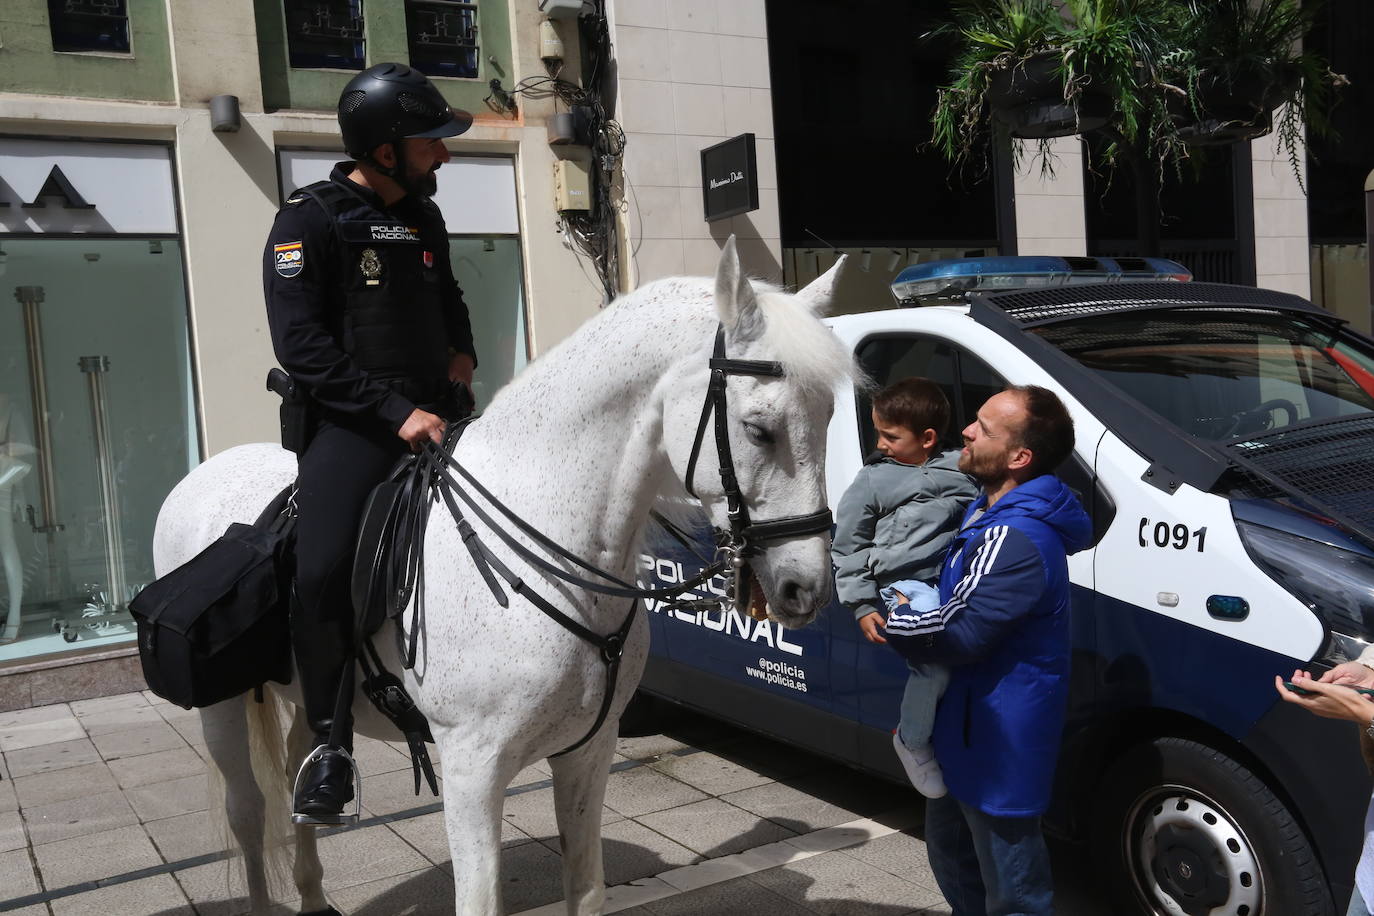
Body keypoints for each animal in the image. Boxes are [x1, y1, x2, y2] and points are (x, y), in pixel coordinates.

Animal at [155, 240, 851, 911]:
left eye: (829, 416)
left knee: (301, 762)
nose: (807, 589)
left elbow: (586, 887)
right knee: (248, 813)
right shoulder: (471, 772)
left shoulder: (588, 755)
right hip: (220, 706)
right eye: (758, 430)